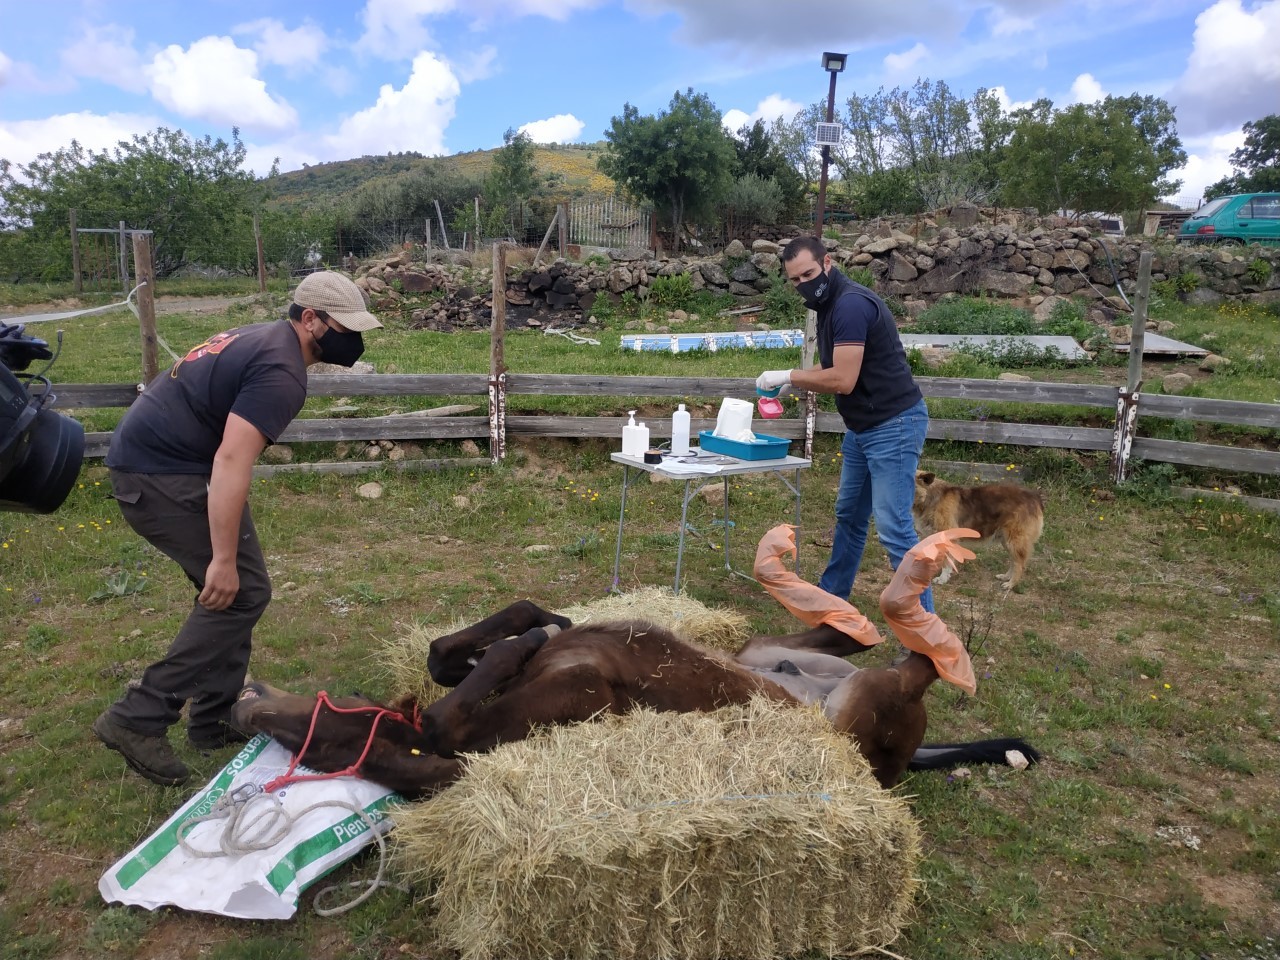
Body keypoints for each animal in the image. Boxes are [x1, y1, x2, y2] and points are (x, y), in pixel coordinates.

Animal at [916, 476, 1044, 593]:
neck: (931, 498)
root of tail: (1035, 496)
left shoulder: (949, 539)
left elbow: (946, 562)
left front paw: (942, 579)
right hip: (1007, 540)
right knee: (1014, 561)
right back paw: (1006, 577)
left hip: (1014, 541)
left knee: (1019, 565)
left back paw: (1011, 584)